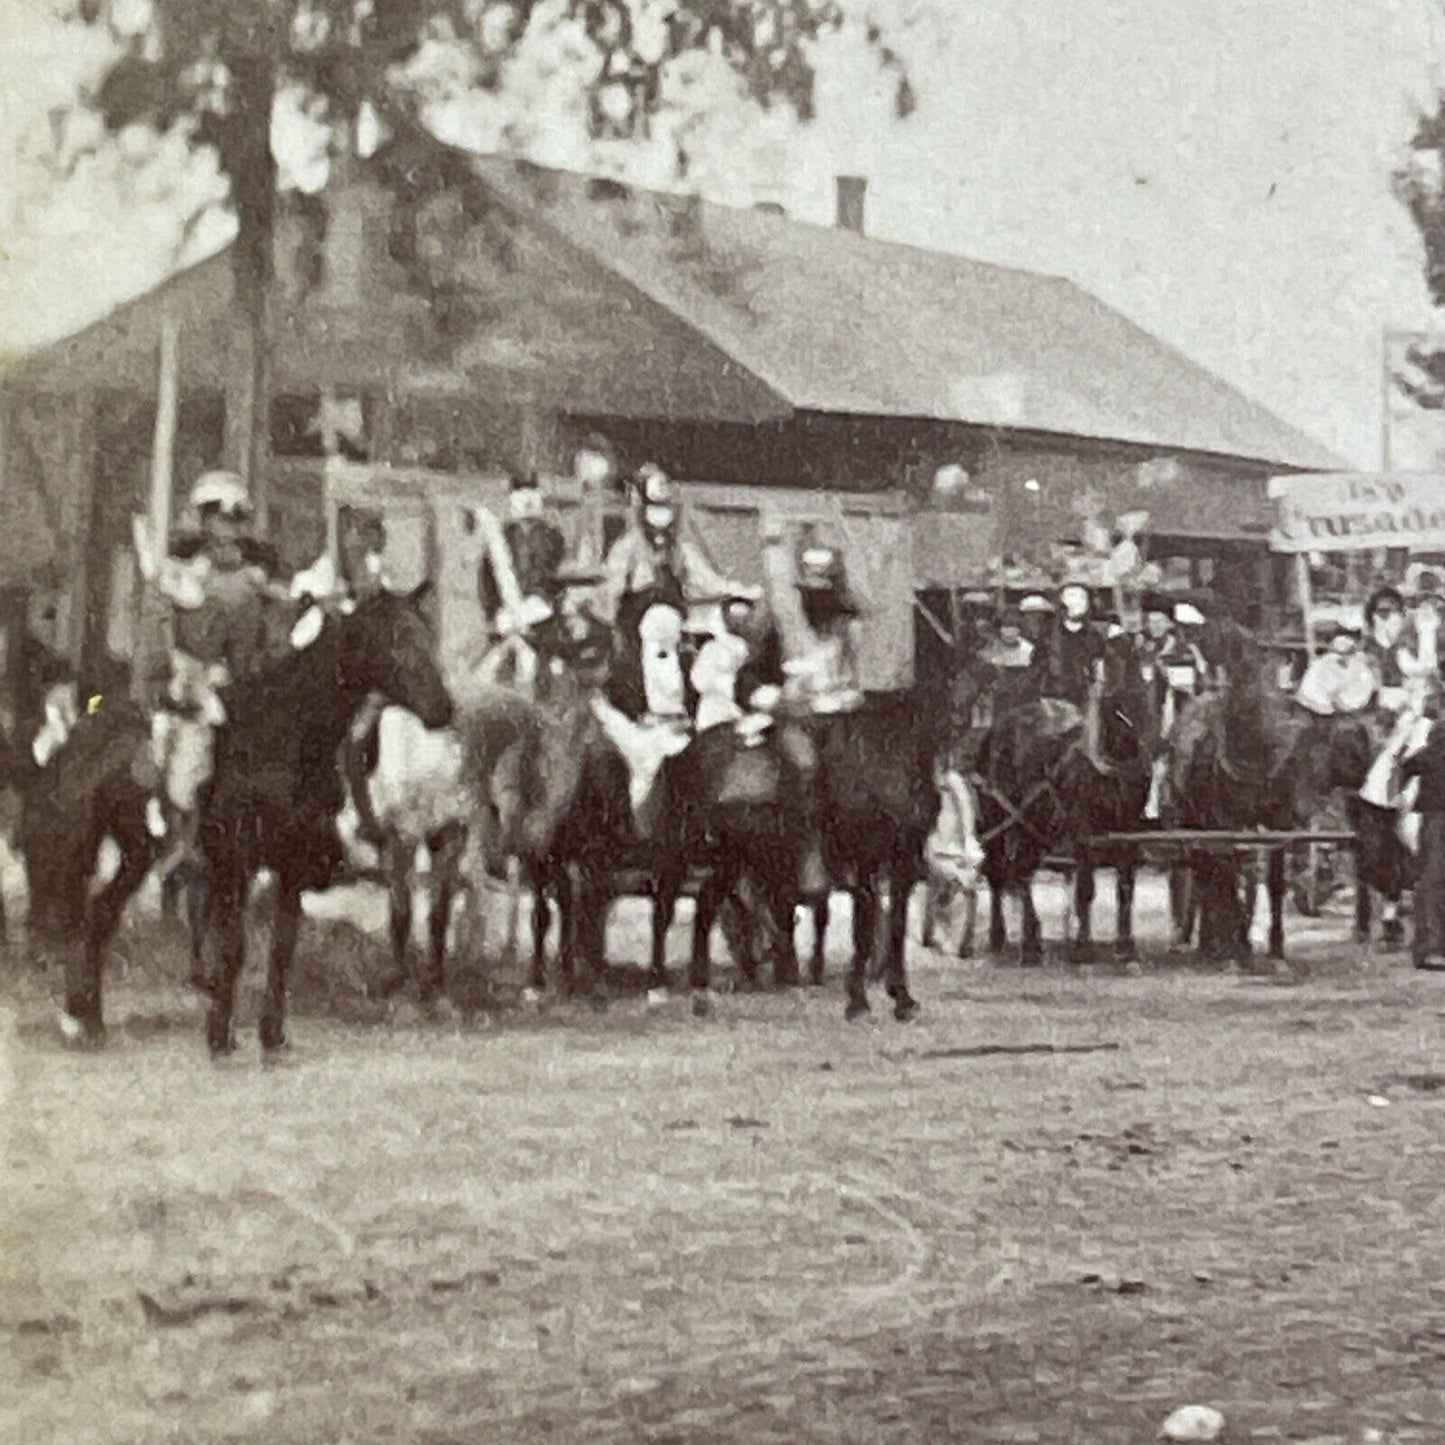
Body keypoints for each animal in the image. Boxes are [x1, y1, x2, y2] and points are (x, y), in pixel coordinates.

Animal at [60, 583, 450, 1051]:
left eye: (426, 636)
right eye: (394, 640)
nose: (443, 708)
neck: (282, 738)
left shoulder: (291, 868)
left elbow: (282, 948)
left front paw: (272, 1034)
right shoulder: (235, 866)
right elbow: (234, 949)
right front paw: (220, 1036)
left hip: (137, 855)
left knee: (101, 914)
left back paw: (90, 1018)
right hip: (120, 849)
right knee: (92, 915)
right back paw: (83, 1018)